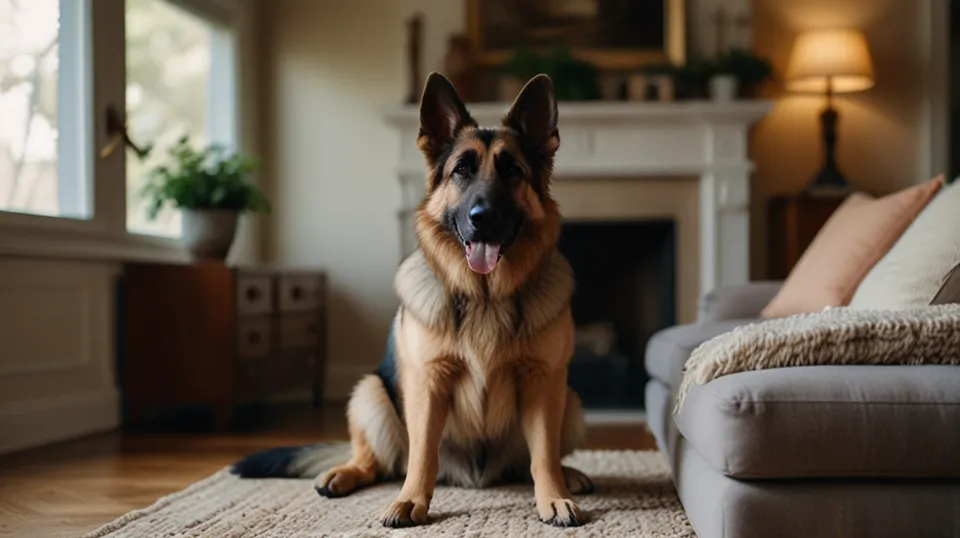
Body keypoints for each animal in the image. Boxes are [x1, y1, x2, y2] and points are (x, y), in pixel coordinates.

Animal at [235, 72, 588, 528]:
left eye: (512, 170)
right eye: (461, 170)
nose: (483, 218)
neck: (485, 296)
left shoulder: (542, 381)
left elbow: (542, 455)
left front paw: (554, 497)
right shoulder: (428, 384)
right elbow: (422, 454)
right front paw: (410, 500)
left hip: (570, 400)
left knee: (528, 461)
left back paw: (569, 474)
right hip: (370, 394)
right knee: (379, 462)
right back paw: (343, 473)